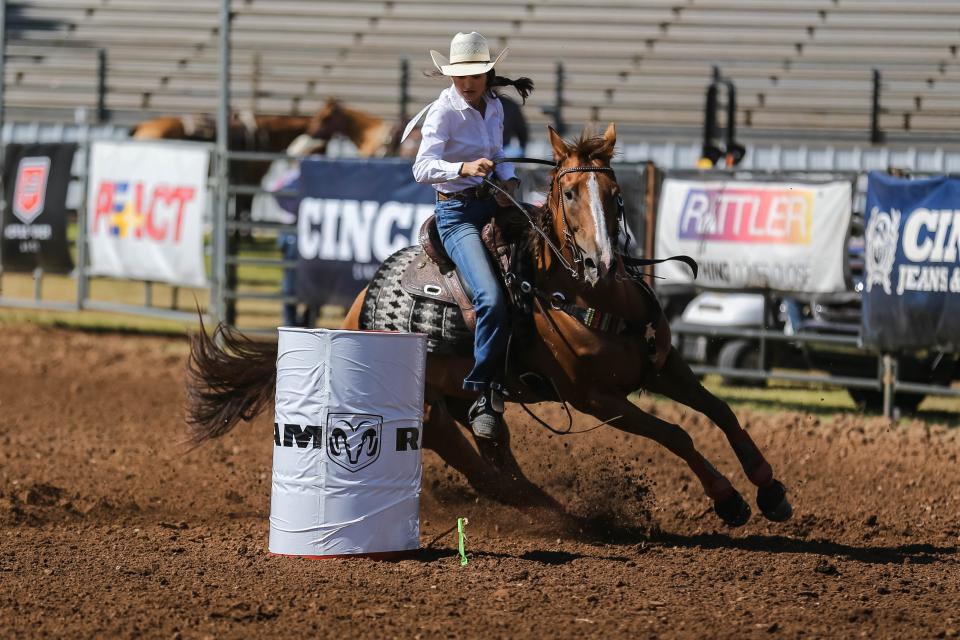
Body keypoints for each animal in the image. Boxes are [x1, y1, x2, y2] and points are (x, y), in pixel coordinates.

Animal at [184, 122, 792, 528]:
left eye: (615, 195)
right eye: (569, 192)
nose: (602, 263)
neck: (585, 296)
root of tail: (356, 309)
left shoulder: (662, 367)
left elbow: (720, 410)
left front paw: (770, 489)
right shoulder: (598, 398)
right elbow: (676, 433)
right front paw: (729, 500)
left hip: (465, 398)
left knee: (497, 454)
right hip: (431, 412)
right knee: (479, 467)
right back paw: (564, 518)